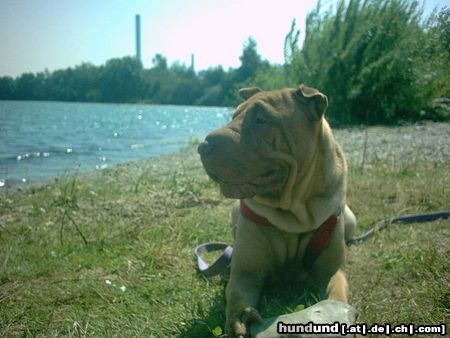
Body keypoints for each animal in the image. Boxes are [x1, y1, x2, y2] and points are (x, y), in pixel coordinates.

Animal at [199, 85, 356, 338]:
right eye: (234, 117)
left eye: (261, 119)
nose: (202, 147)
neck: (294, 213)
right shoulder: (246, 273)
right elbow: (236, 297)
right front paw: (240, 319)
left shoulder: (332, 270)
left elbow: (337, 292)